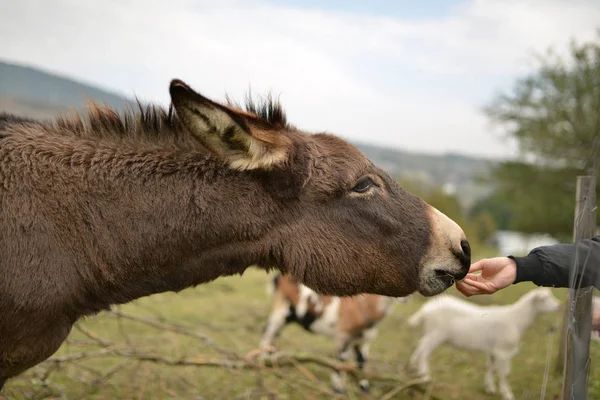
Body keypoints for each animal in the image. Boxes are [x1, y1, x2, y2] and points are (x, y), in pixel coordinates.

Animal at [258, 274, 408, 392]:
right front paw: (338, 388)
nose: (404, 297)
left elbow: (361, 361)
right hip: (281, 309)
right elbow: (341, 360)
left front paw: (364, 386)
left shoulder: (363, 340)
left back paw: (272, 358)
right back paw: (264, 360)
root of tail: (278, 277)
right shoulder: (344, 335)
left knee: (275, 334)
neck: (365, 305)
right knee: (267, 332)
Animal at [406, 288, 560, 400]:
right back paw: (425, 375)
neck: (516, 320)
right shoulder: (503, 351)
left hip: (431, 332)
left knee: (421, 345)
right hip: (436, 333)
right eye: (545, 299)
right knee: (425, 352)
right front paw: (507, 394)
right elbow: (505, 374)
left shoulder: (493, 350)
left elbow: (491, 368)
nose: (558, 305)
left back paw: (413, 367)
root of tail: (426, 309)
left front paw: (489, 388)